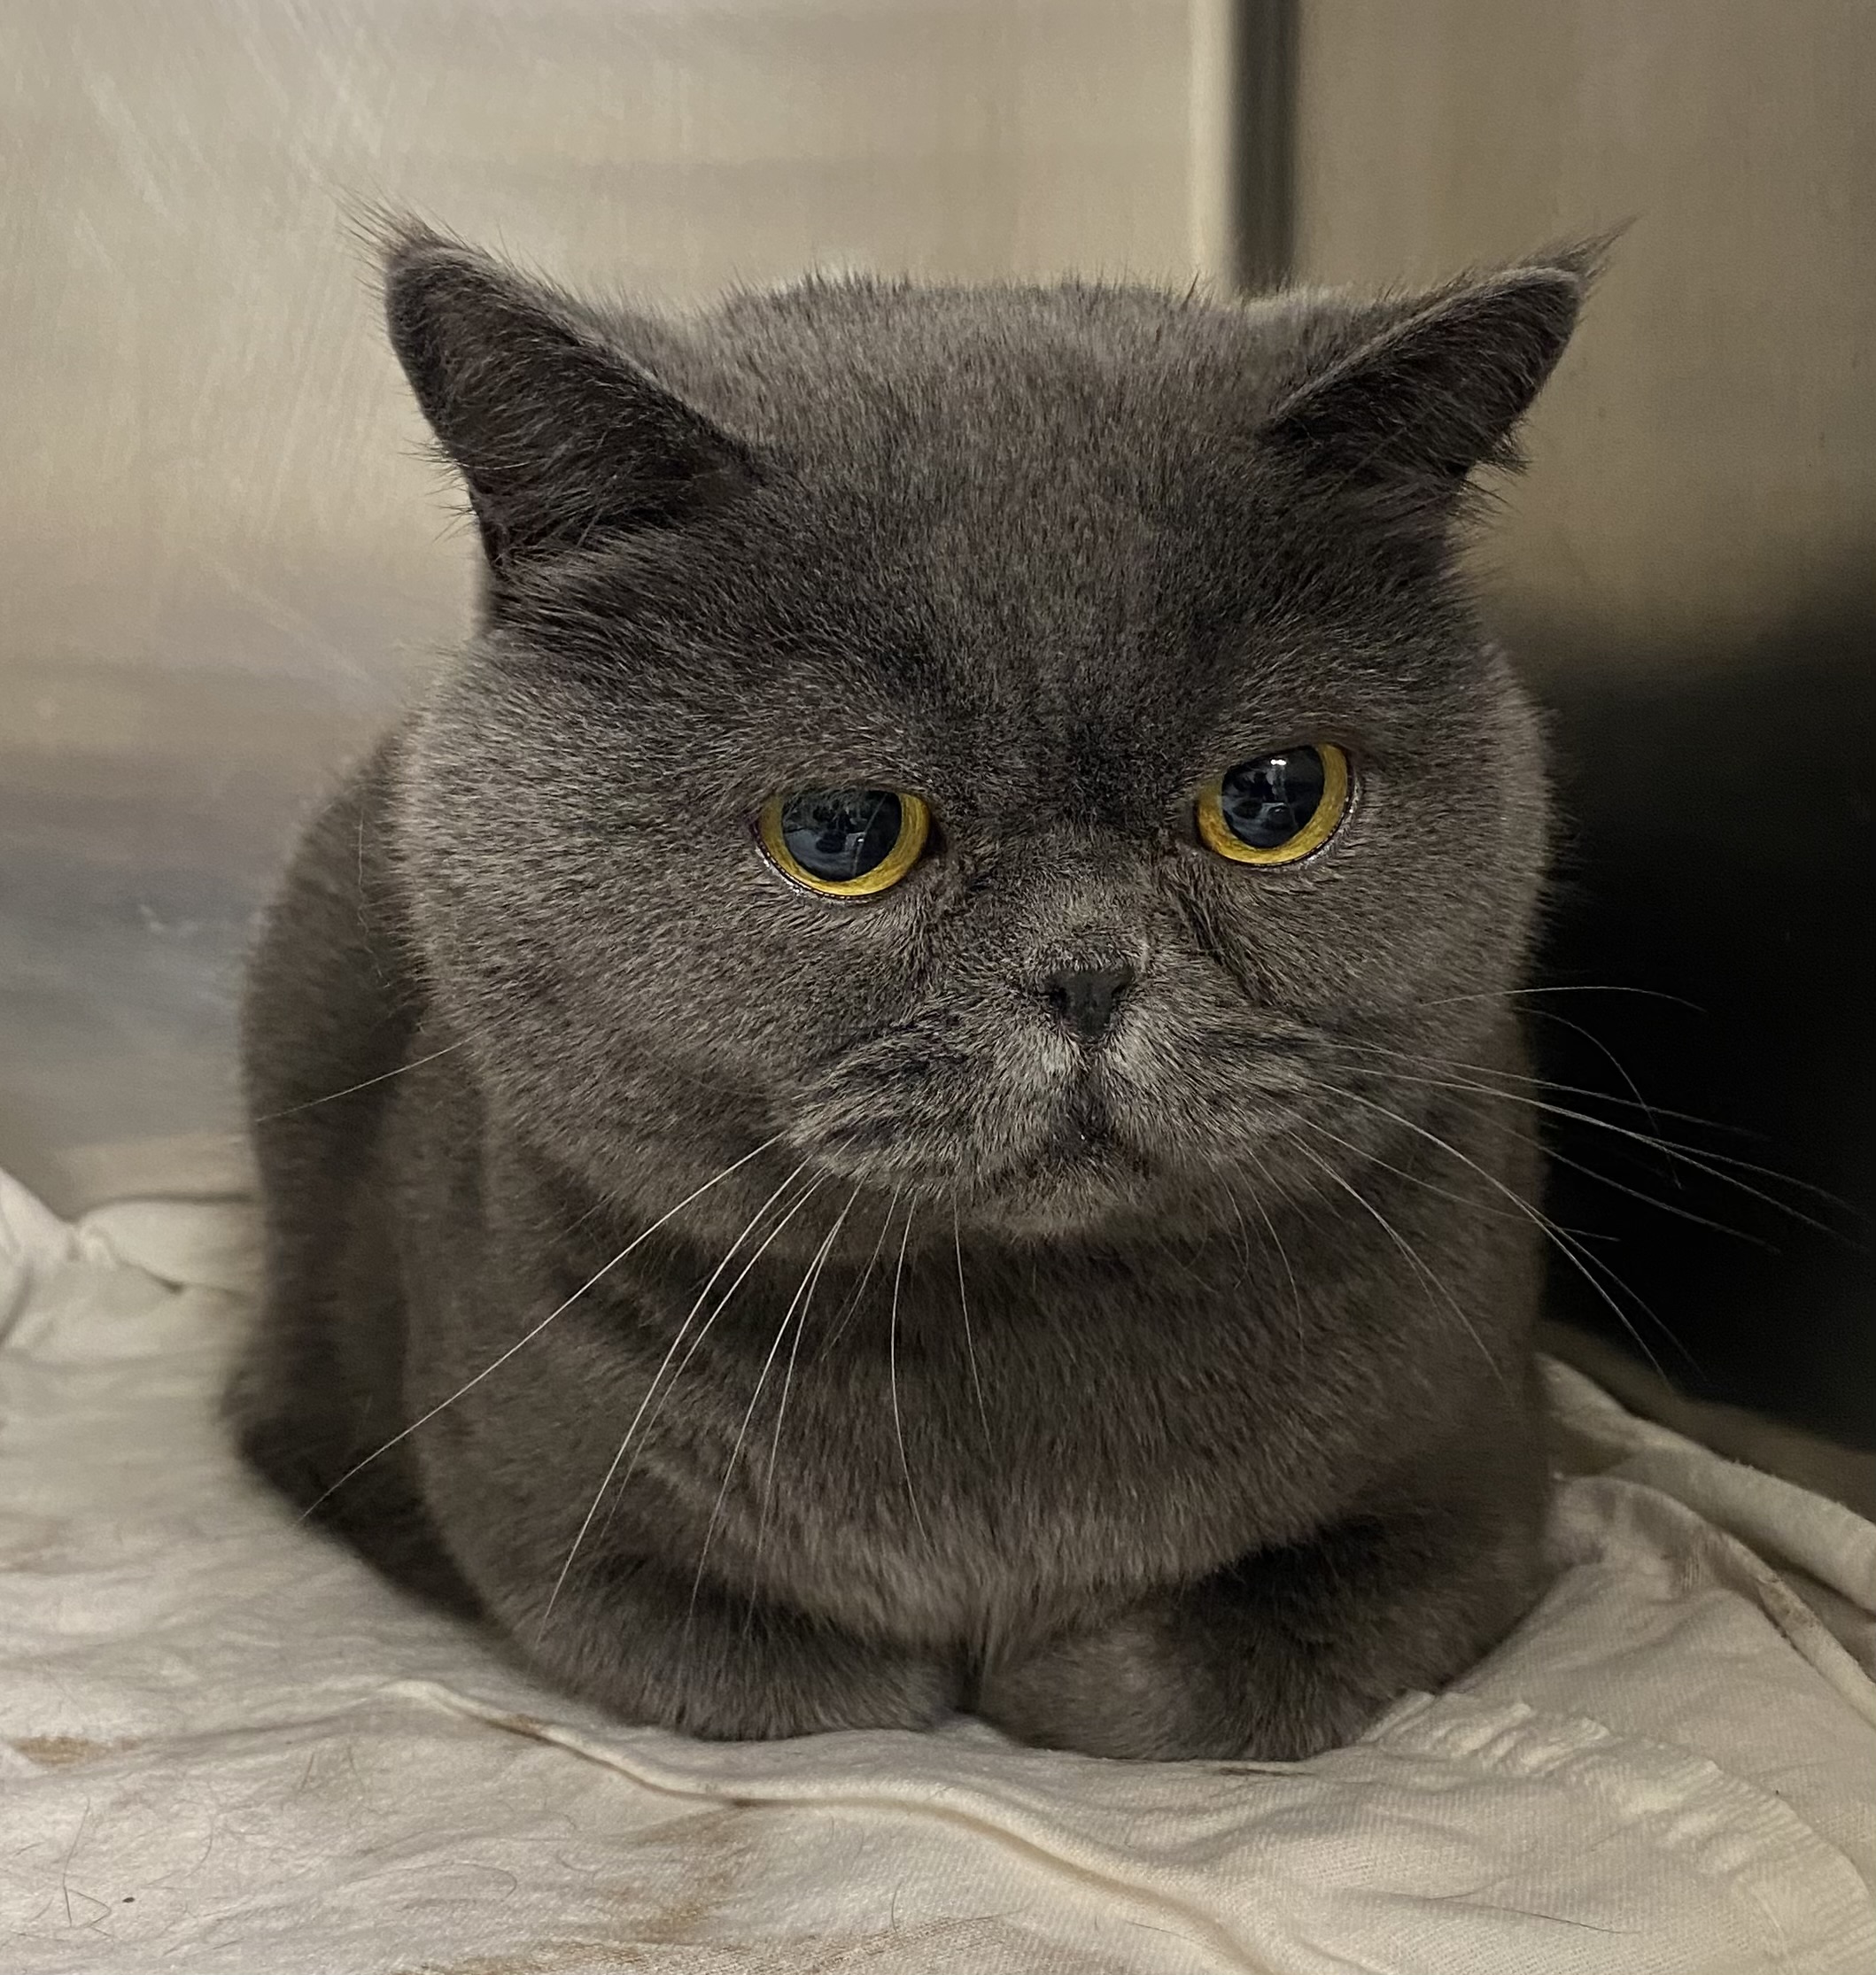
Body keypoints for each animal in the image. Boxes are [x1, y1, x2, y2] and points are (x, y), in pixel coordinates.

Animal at [229, 221, 1588, 1761]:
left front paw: (1051, 1667)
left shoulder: (1480, 1484)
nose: (1085, 969)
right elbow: (829, 1689)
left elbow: (1179, 1682)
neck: (1011, 1350)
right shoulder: (551, 1530)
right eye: (838, 829)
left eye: (1271, 798)